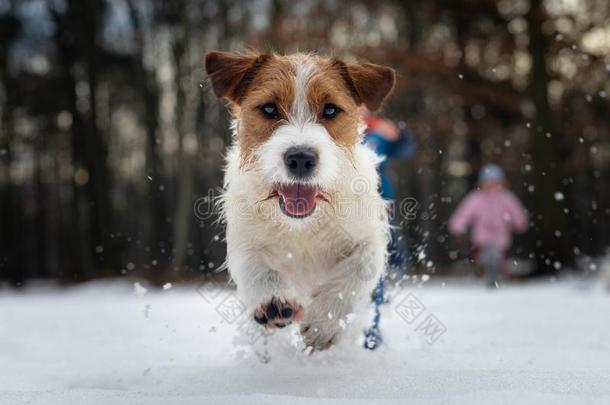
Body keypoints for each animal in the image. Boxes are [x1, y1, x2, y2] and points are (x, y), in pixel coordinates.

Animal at [204, 51, 394, 350]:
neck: (303, 226)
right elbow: (253, 266)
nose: (301, 158)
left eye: (330, 110)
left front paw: (324, 323)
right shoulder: (245, 237)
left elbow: (360, 268)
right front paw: (273, 302)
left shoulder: (368, 236)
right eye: (269, 109)